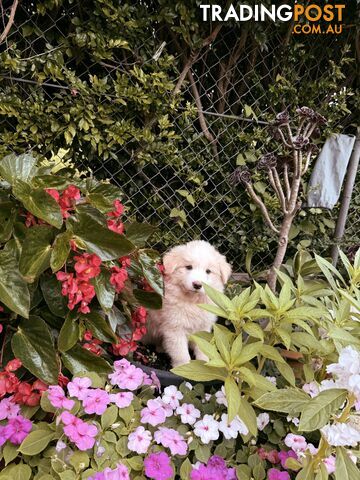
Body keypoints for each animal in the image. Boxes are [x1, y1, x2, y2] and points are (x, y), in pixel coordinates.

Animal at [144, 240, 232, 368]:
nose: (197, 284)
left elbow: (203, 348)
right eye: (189, 267)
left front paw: (205, 365)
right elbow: (182, 355)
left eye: (208, 271)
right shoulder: (175, 329)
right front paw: (183, 368)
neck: (193, 302)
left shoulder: (204, 327)